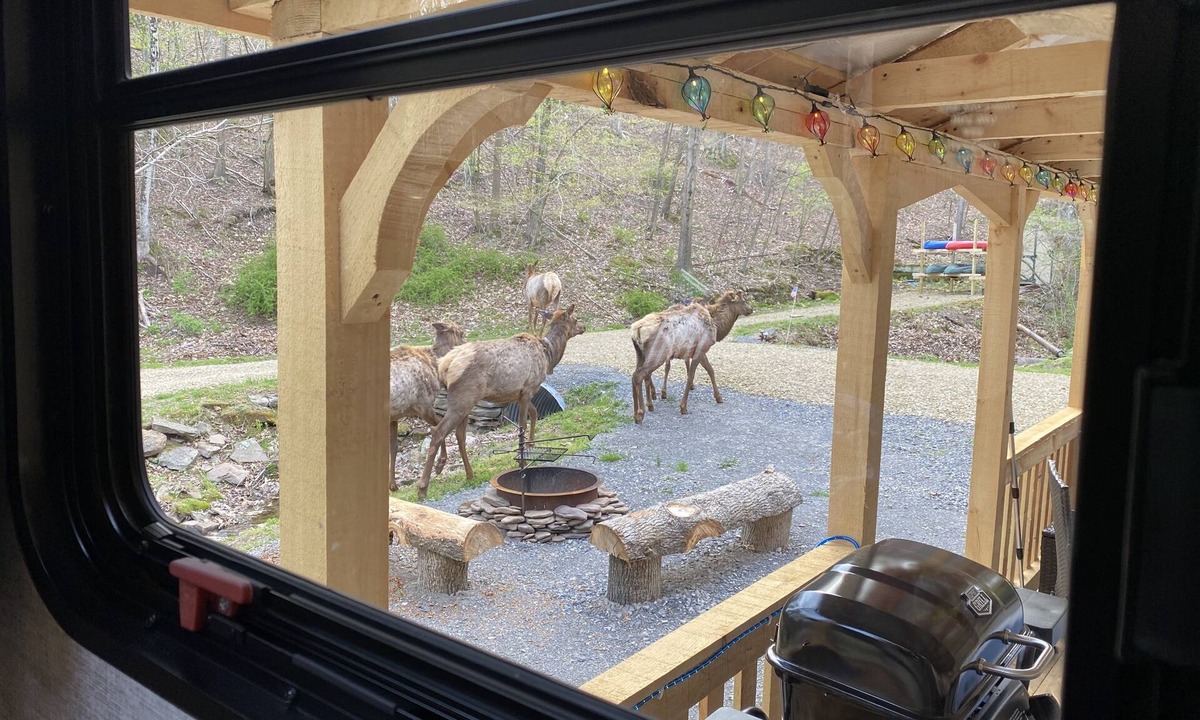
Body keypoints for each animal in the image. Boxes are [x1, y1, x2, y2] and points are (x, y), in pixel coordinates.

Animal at [388, 321, 466, 491]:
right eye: (462, 332)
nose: (465, 346)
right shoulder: (423, 404)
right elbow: (437, 427)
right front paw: (440, 463)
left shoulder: (395, 416)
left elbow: (393, 447)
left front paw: (393, 485)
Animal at [415, 305, 585, 500]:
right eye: (575, 318)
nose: (584, 326)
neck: (548, 356)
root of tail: (444, 365)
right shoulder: (529, 388)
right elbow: (523, 425)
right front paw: (523, 458)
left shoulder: (520, 393)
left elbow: (534, 413)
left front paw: (532, 444)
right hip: (463, 398)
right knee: (438, 432)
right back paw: (423, 487)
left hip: (465, 401)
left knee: (459, 435)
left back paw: (469, 474)